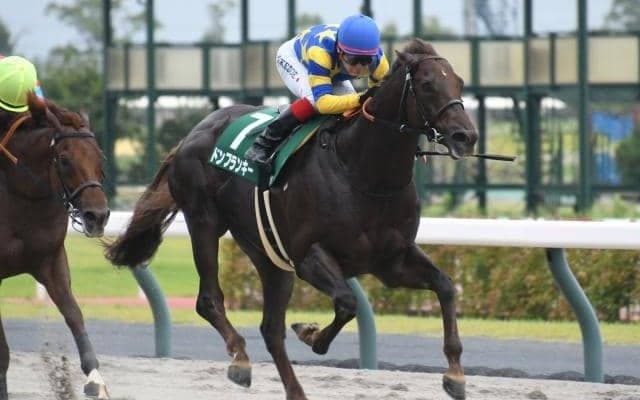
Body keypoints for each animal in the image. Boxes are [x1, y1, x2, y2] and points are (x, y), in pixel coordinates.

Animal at [0, 94, 110, 400]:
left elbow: (74, 315)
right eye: (64, 159)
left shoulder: (51, 261)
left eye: (100, 157)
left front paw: (96, 381)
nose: (97, 216)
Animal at [105, 38, 477, 400]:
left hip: (267, 253)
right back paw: (240, 359)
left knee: (270, 328)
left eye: (459, 82)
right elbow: (347, 303)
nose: (466, 136)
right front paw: (310, 333)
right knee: (209, 300)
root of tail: (191, 134)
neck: (362, 172)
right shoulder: (308, 256)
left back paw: (293, 390)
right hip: (204, 222)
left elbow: (445, 287)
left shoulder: (391, 261)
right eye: (427, 85)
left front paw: (455, 375)